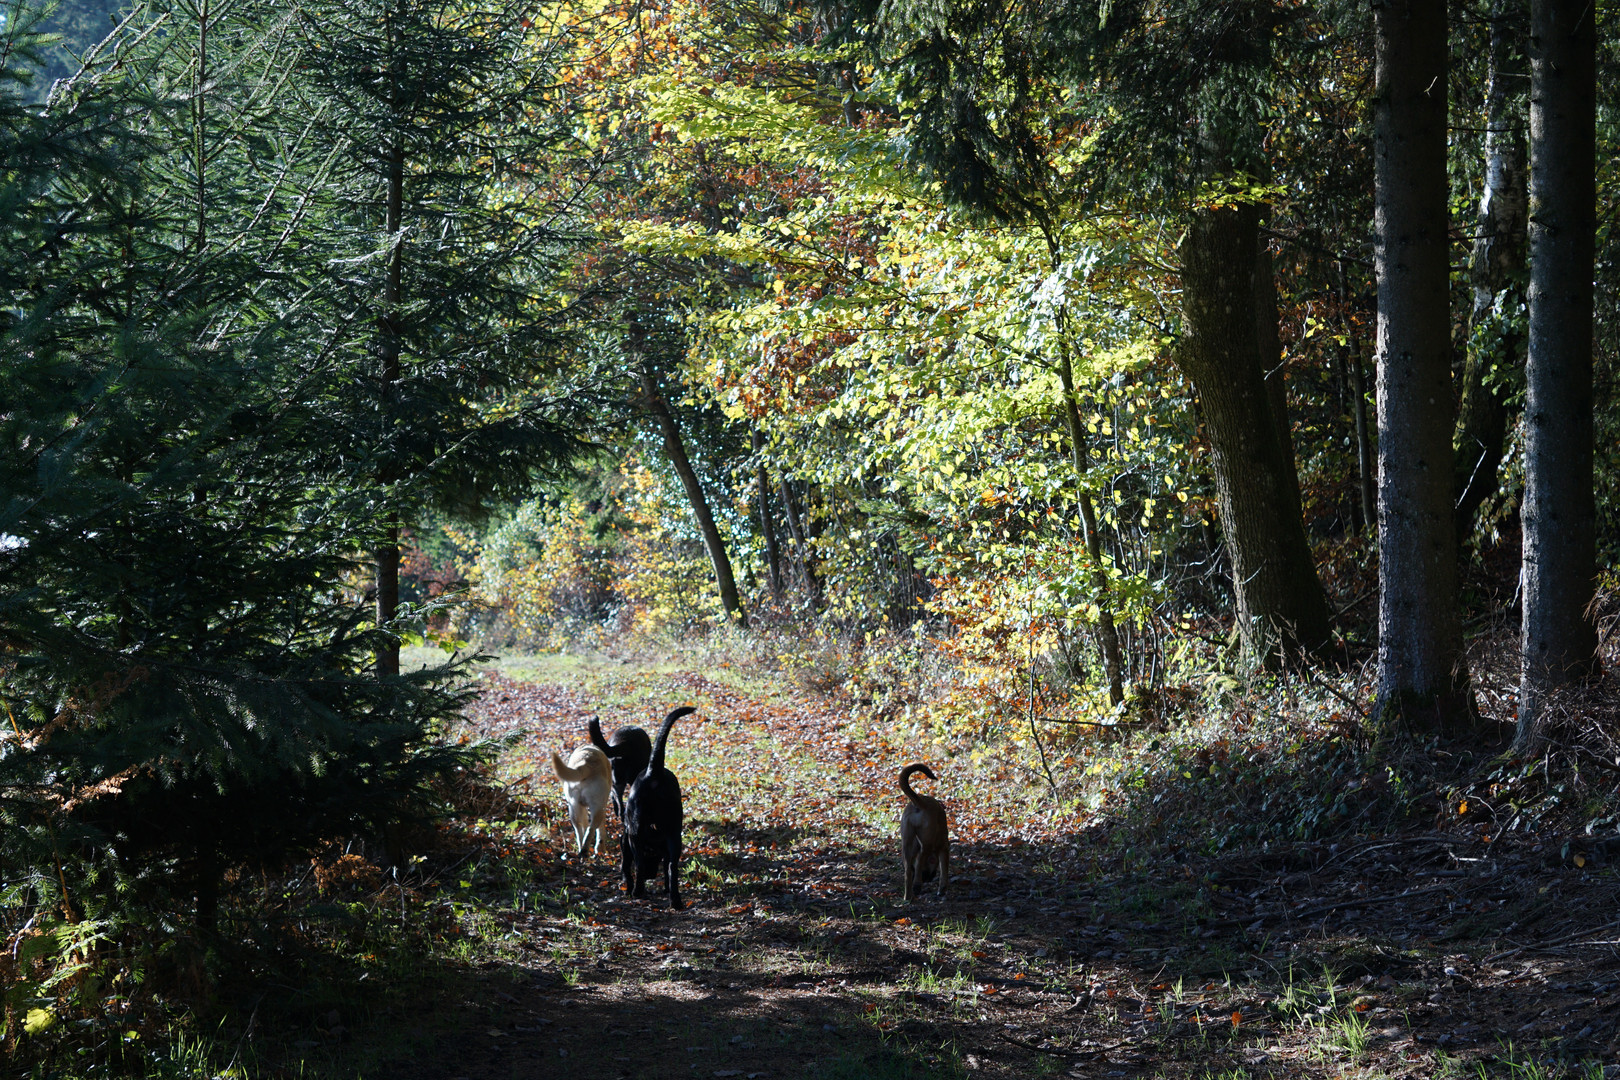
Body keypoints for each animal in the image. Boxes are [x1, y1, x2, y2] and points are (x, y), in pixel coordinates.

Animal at [618, 705, 696, 906]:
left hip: (635, 836)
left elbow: (627, 867)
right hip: (674, 834)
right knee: (672, 867)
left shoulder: (627, 841)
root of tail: (654, 772)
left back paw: (637, 892)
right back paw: (675, 901)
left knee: (638, 865)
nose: (651, 875)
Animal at [900, 761, 946, 906]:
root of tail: (920, 802)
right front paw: (942, 889)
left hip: (906, 843)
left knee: (908, 872)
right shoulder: (944, 847)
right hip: (927, 842)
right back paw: (917, 886)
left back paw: (908, 896)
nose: (929, 879)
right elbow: (945, 870)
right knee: (920, 858)